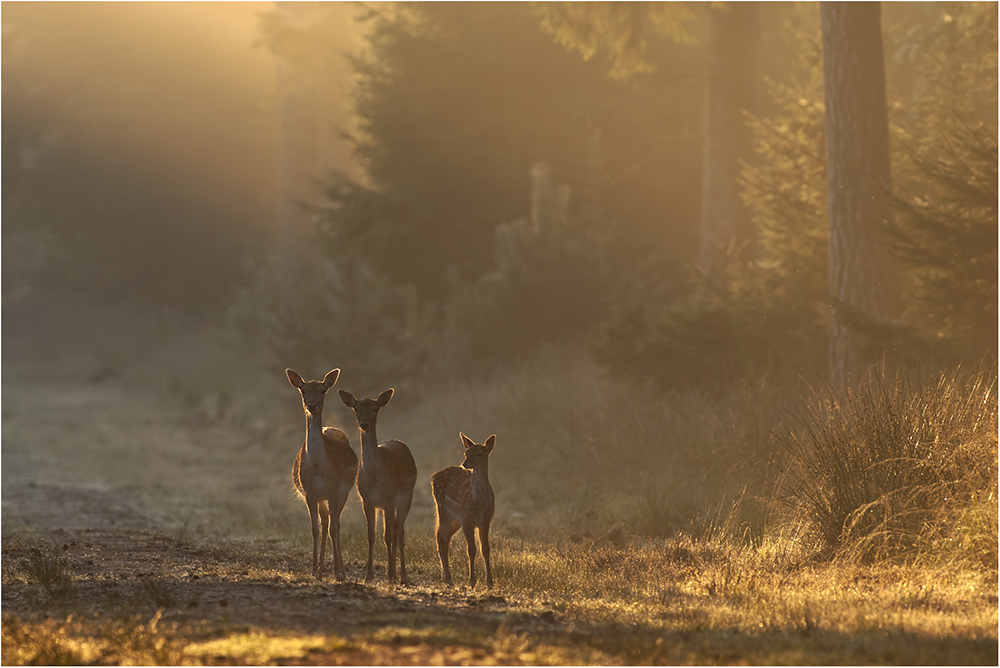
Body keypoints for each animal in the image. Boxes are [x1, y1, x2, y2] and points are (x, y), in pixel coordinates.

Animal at [284, 370, 358, 580]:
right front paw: (313, 570)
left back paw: (338, 570)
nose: (312, 405)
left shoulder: (334, 489)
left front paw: (338, 573)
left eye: (323, 390)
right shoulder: (309, 493)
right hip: (321, 498)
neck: (318, 466)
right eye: (303, 390)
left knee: (336, 524)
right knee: (325, 521)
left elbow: (334, 528)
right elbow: (315, 529)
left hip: (344, 492)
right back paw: (321, 568)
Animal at [336, 388, 414, 580]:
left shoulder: (389, 499)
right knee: (395, 527)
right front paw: (369, 575)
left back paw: (402, 576)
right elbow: (371, 535)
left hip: (406, 497)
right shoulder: (368, 501)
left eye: (376, 408)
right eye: (356, 408)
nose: (364, 423)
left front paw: (392, 575)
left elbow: (387, 536)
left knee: (399, 531)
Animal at [430, 434, 496, 584]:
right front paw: (472, 580)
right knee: (440, 537)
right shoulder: (467, 520)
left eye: (479, 454)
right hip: (443, 510)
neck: (479, 504)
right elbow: (471, 549)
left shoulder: (485, 521)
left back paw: (445, 576)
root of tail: (434, 476)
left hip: (455, 519)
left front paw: (490, 582)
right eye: (466, 453)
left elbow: (485, 549)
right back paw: (448, 578)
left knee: (445, 538)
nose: (465, 464)